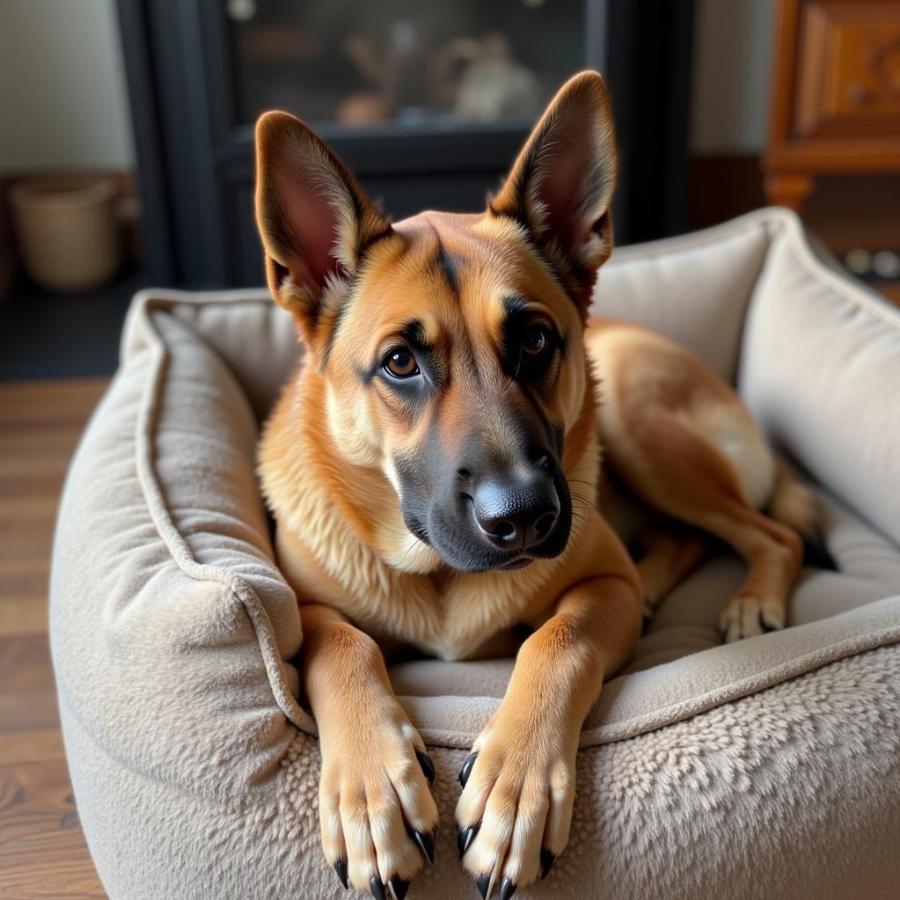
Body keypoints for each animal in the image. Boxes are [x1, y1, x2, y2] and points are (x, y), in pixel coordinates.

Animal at [255, 72, 824, 900]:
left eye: (534, 340)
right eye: (400, 363)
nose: (524, 517)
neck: (438, 575)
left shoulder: (601, 588)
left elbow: (559, 639)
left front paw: (514, 786)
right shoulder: (309, 609)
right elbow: (341, 644)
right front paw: (370, 790)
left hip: (636, 421)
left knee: (768, 532)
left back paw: (748, 596)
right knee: (690, 536)